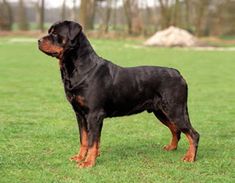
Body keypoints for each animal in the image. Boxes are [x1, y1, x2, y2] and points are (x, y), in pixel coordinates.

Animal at [38, 20, 200, 168]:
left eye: (55, 34)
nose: (38, 40)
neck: (79, 68)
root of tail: (178, 73)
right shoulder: (80, 114)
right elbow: (83, 139)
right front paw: (79, 157)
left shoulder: (94, 114)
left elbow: (92, 141)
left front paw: (88, 162)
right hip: (161, 111)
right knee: (176, 130)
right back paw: (172, 147)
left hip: (174, 109)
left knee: (193, 134)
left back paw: (189, 157)